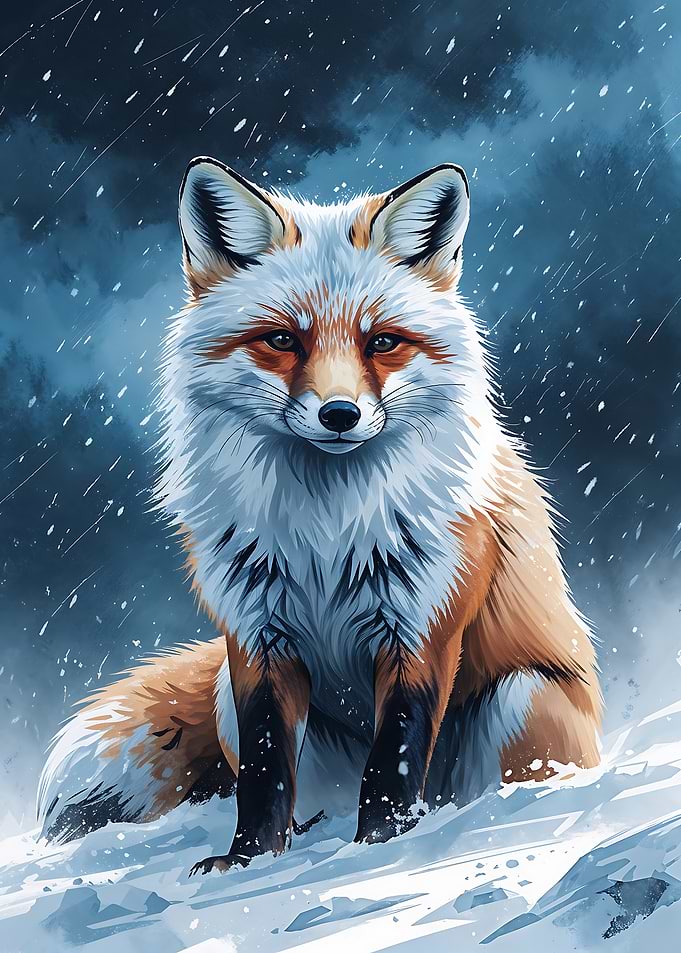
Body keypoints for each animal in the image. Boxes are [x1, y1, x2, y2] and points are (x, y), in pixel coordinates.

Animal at [37, 157, 602, 874]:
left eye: (383, 342)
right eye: (282, 340)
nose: (340, 414)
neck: (325, 534)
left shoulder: (422, 627)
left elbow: (393, 762)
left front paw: (382, 846)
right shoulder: (259, 638)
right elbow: (265, 771)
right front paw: (248, 862)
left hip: (520, 698)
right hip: (227, 697)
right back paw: (310, 837)